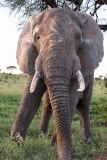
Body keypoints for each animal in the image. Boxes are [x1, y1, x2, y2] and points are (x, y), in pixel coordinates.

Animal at [10, 7, 103, 160]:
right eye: (37, 37)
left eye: (77, 37)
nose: (63, 156)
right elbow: (31, 98)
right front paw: (15, 145)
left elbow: (71, 97)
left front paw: (53, 144)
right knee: (48, 103)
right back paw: (42, 136)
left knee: (83, 104)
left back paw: (86, 142)